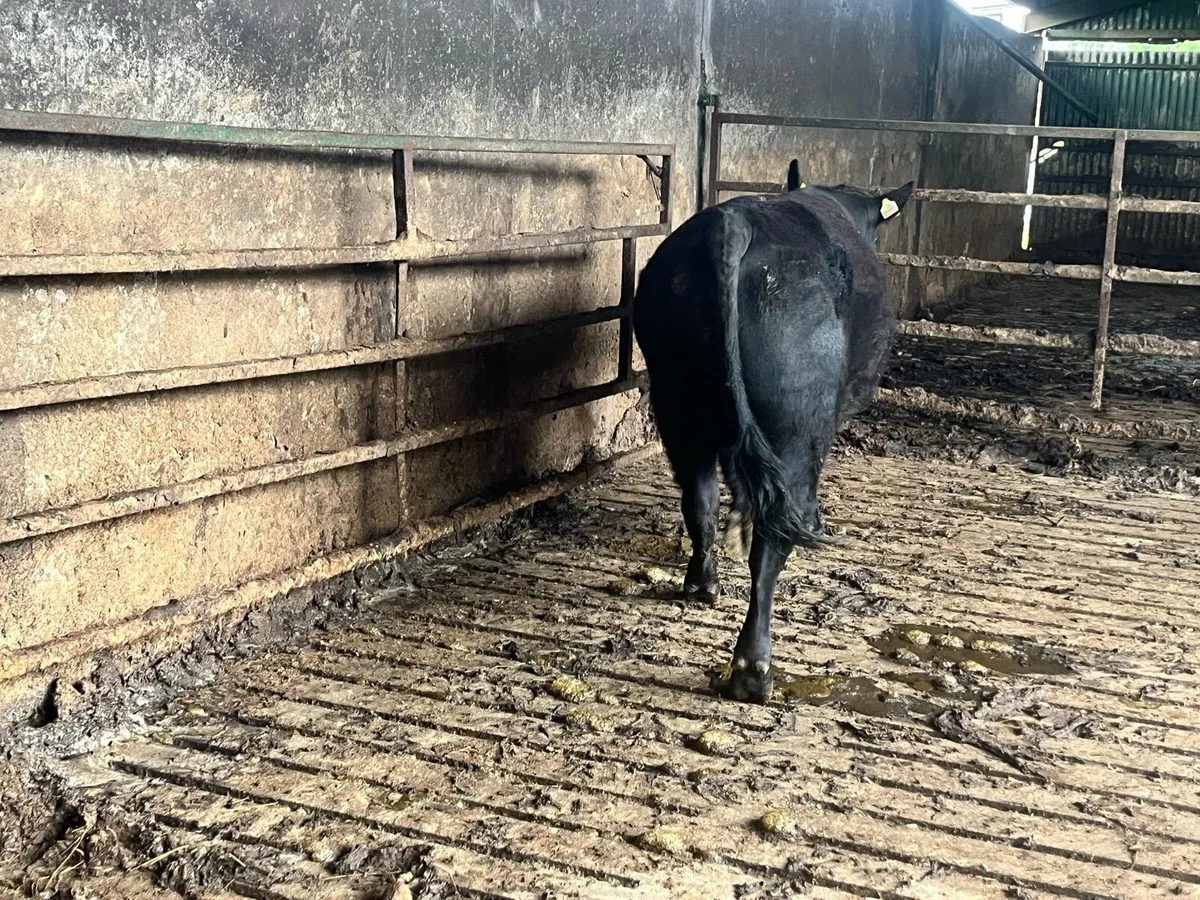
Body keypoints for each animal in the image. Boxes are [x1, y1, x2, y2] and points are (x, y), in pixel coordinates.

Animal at [631, 160, 913, 703]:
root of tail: (733, 224)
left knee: (700, 500)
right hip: (794, 424)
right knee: (772, 536)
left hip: (677, 403)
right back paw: (753, 669)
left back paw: (702, 584)